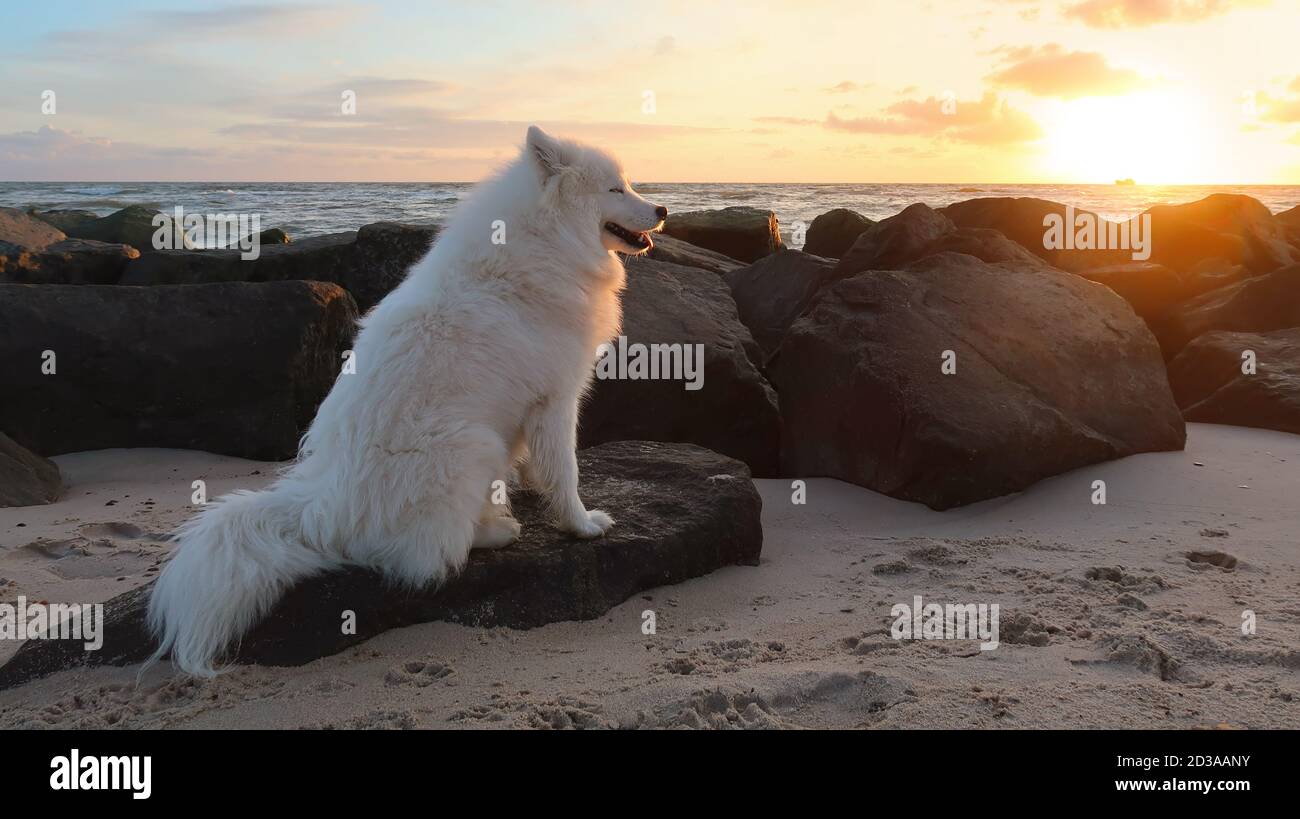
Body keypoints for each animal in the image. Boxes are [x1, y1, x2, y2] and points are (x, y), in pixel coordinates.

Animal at [147, 128, 665, 676]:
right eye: (615, 189)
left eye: (628, 184)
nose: (663, 209)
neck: (547, 242)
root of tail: (318, 511)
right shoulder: (557, 399)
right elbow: (566, 473)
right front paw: (582, 525)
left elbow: (537, 465)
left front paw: (531, 487)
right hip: (472, 443)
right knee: (428, 555)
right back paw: (496, 530)